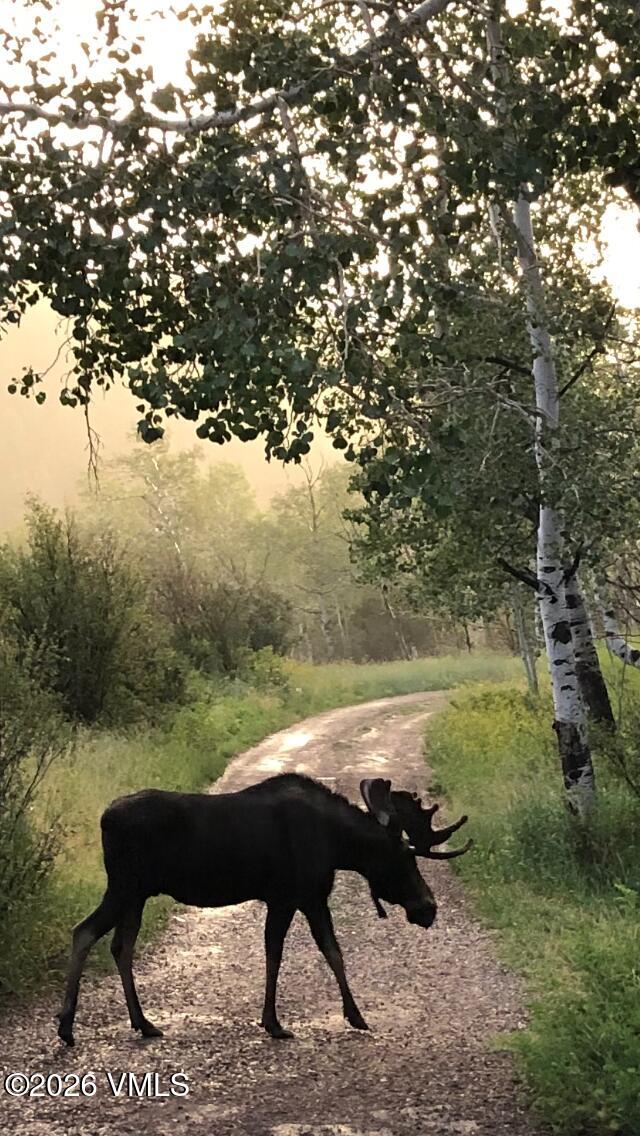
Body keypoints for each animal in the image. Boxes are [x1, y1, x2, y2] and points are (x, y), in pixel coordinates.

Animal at [57, 773, 471, 1046]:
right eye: (405, 859)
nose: (429, 908)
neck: (337, 844)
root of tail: (104, 819)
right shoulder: (286, 897)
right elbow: (276, 954)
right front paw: (274, 1022)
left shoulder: (312, 898)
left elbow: (333, 953)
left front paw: (355, 1015)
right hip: (125, 886)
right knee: (84, 931)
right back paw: (66, 1026)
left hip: (137, 895)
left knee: (120, 946)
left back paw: (143, 1023)